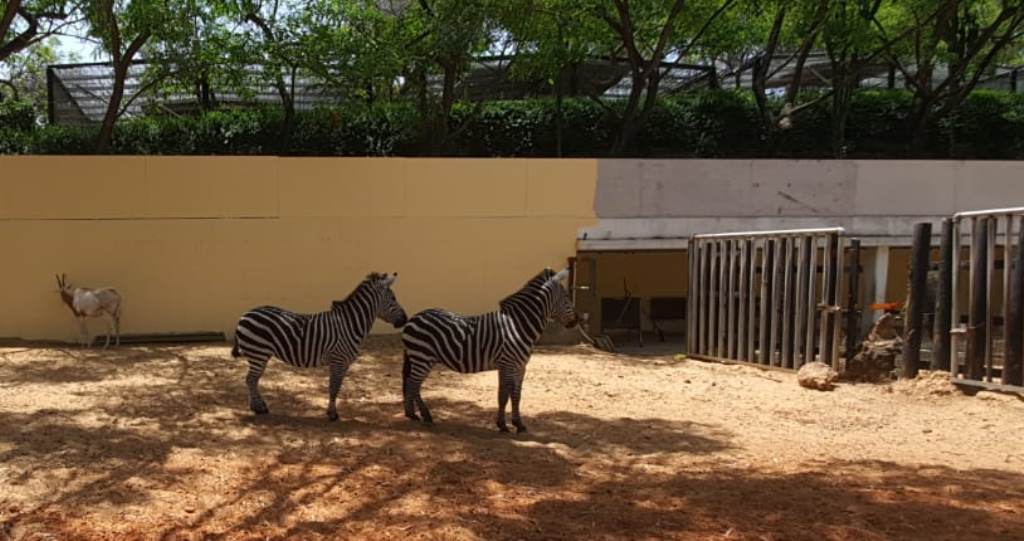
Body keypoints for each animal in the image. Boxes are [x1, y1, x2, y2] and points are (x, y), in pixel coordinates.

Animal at [232, 272, 407, 420]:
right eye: (393, 298)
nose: (405, 320)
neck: (350, 324)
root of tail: (245, 314)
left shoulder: (345, 363)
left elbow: (337, 387)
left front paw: (332, 411)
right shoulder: (338, 360)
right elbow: (333, 387)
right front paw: (332, 414)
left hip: (260, 354)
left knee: (253, 380)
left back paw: (259, 407)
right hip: (258, 353)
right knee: (250, 380)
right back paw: (258, 408)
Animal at [399, 268, 577, 432]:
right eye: (566, 297)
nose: (577, 320)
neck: (518, 326)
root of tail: (414, 317)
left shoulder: (520, 366)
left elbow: (516, 395)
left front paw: (518, 424)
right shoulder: (507, 364)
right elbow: (503, 395)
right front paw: (502, 425)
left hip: (420, 358)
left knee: (410, 383)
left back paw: (411, 414)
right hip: (422, 357)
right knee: (413, 384)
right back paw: (424, 415)